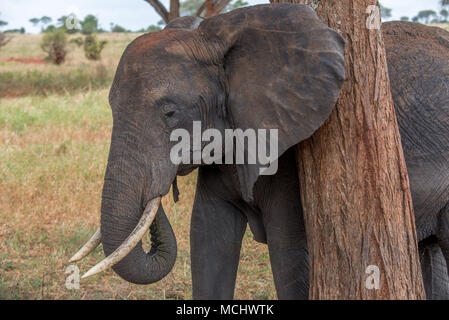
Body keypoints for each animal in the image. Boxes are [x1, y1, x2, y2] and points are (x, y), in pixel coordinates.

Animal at [69, 4, 448, 300]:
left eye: (170, 113)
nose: (162, 189)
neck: (211, 37)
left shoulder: (290, 150)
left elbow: (291, 253)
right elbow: (208, 236)